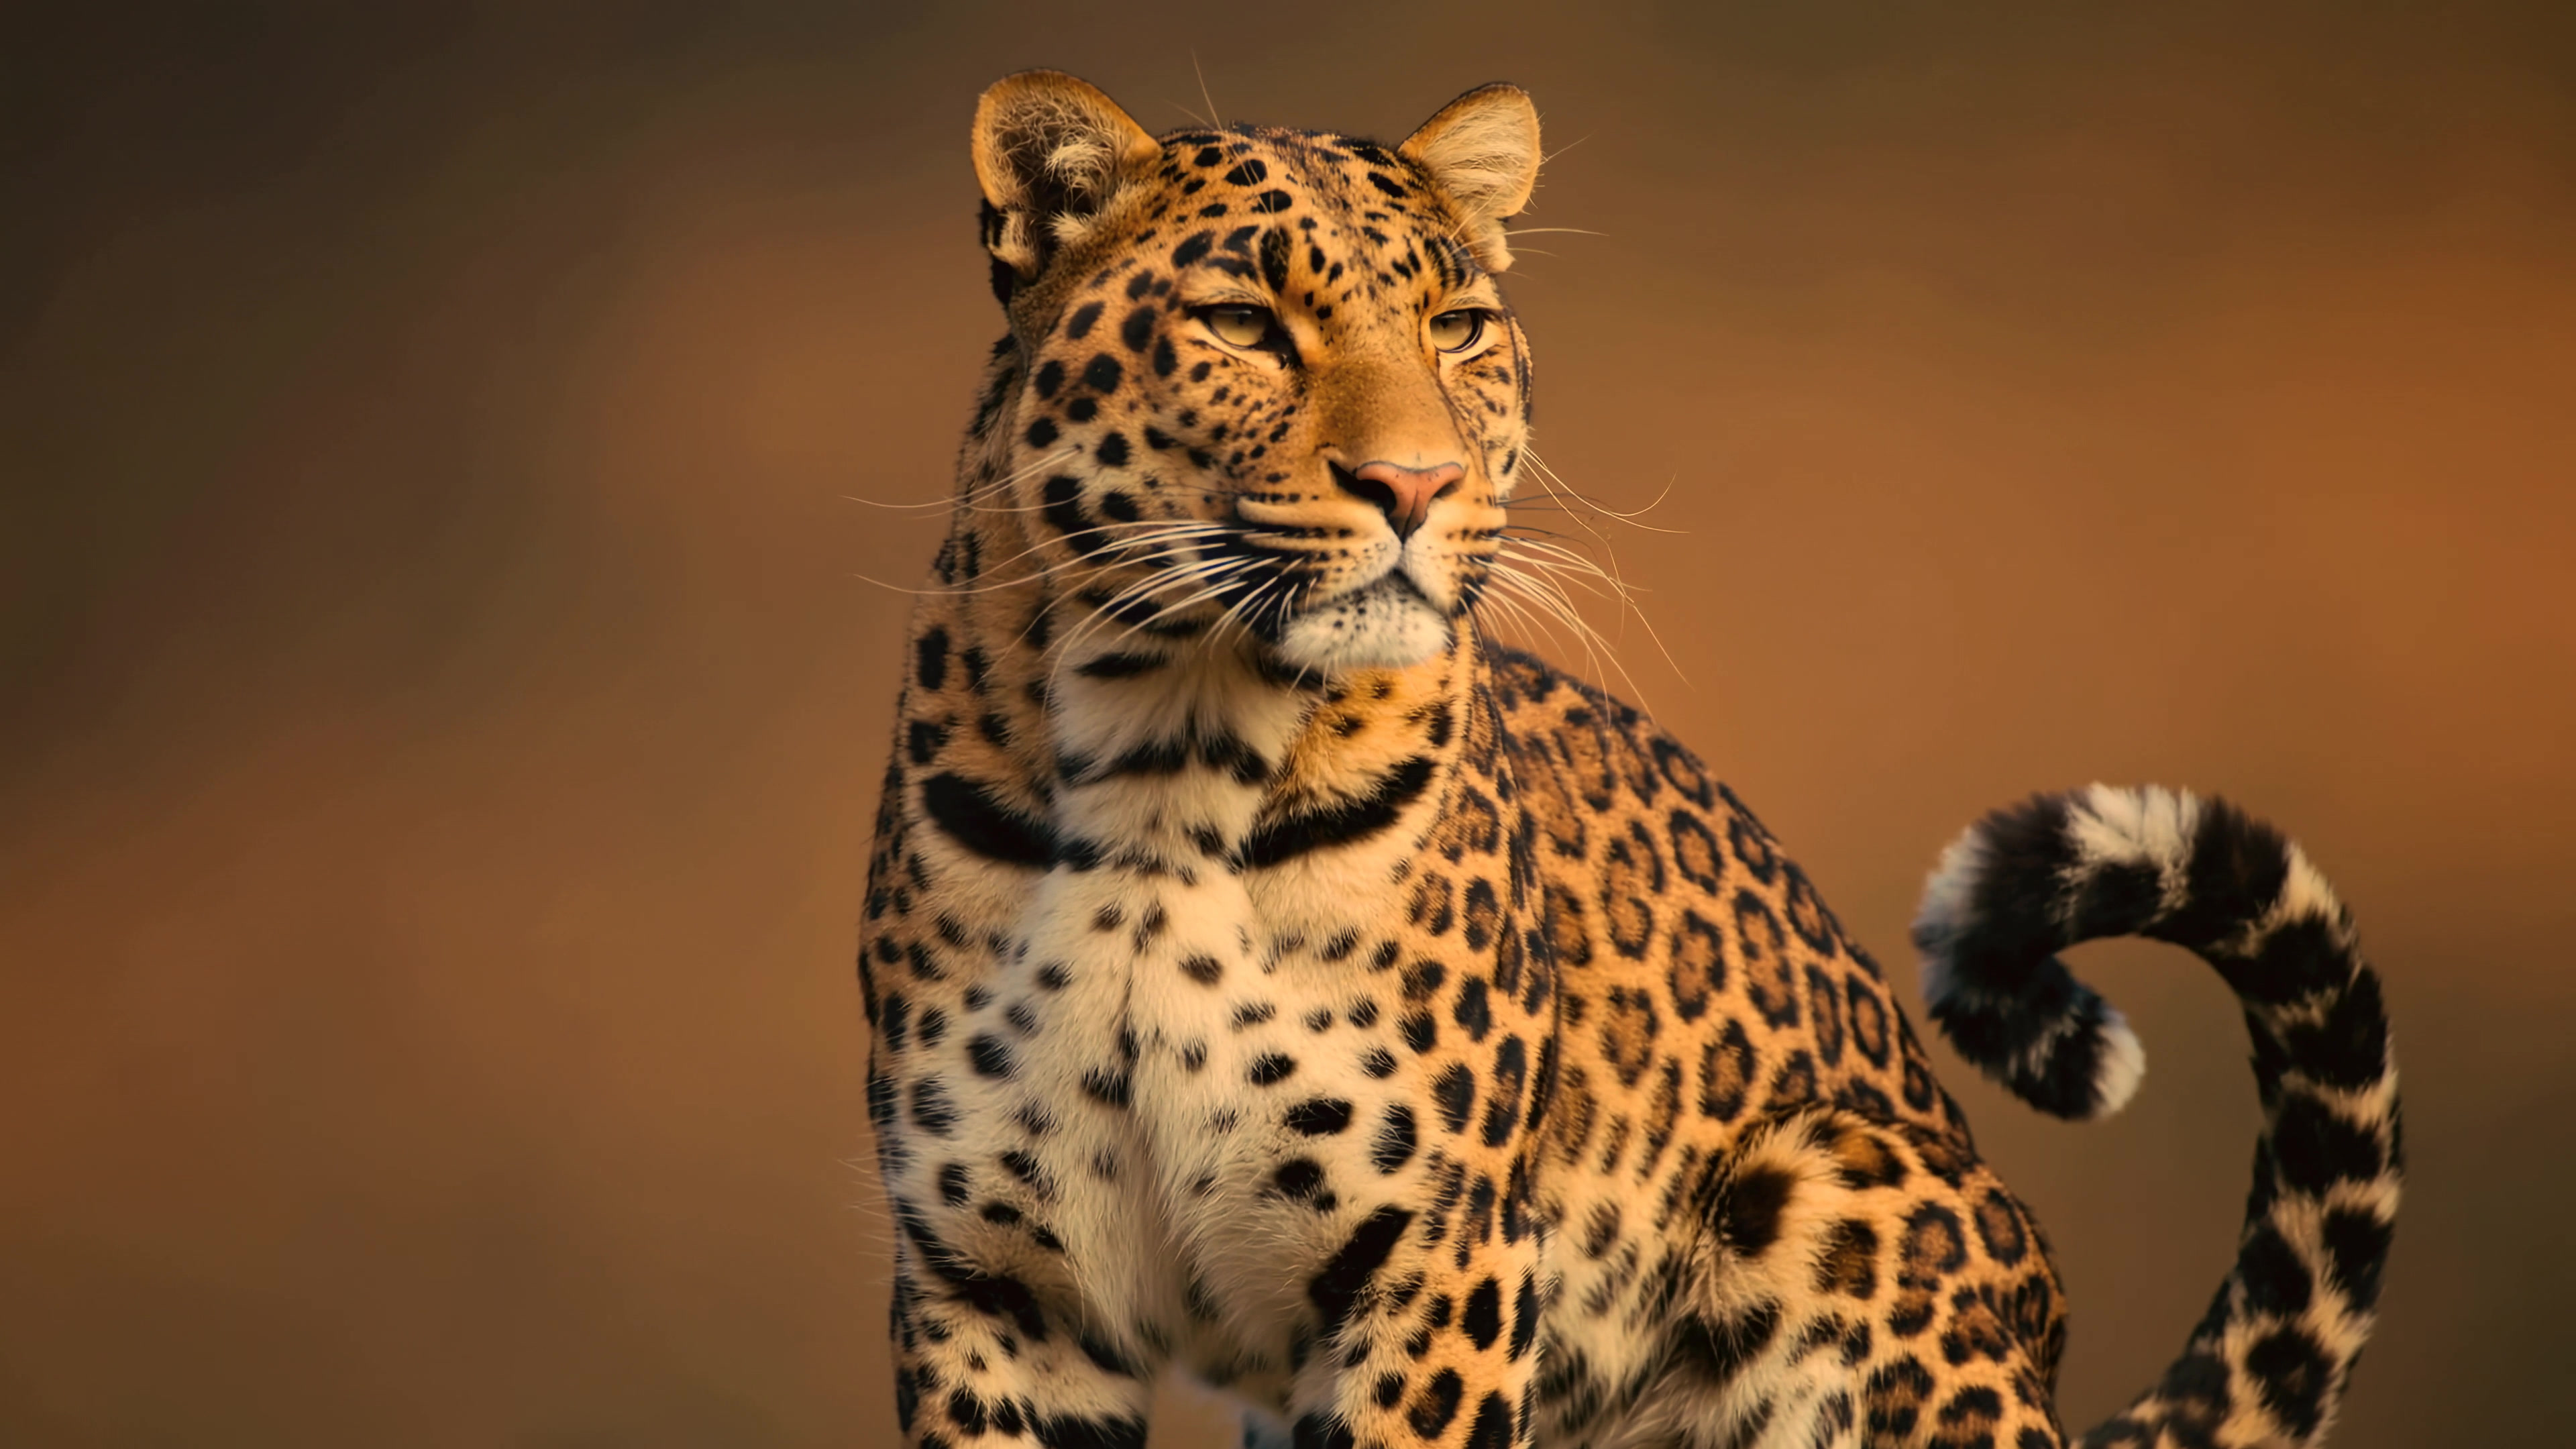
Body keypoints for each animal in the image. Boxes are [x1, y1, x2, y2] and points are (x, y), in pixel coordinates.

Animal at [855, 69, 2403, 1449]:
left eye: (1457, 328)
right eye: (1242, 323)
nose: (1416, 485)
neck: (1166, 755)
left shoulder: (1434, 1261)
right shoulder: (994, 1294)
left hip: (1835, 1188)